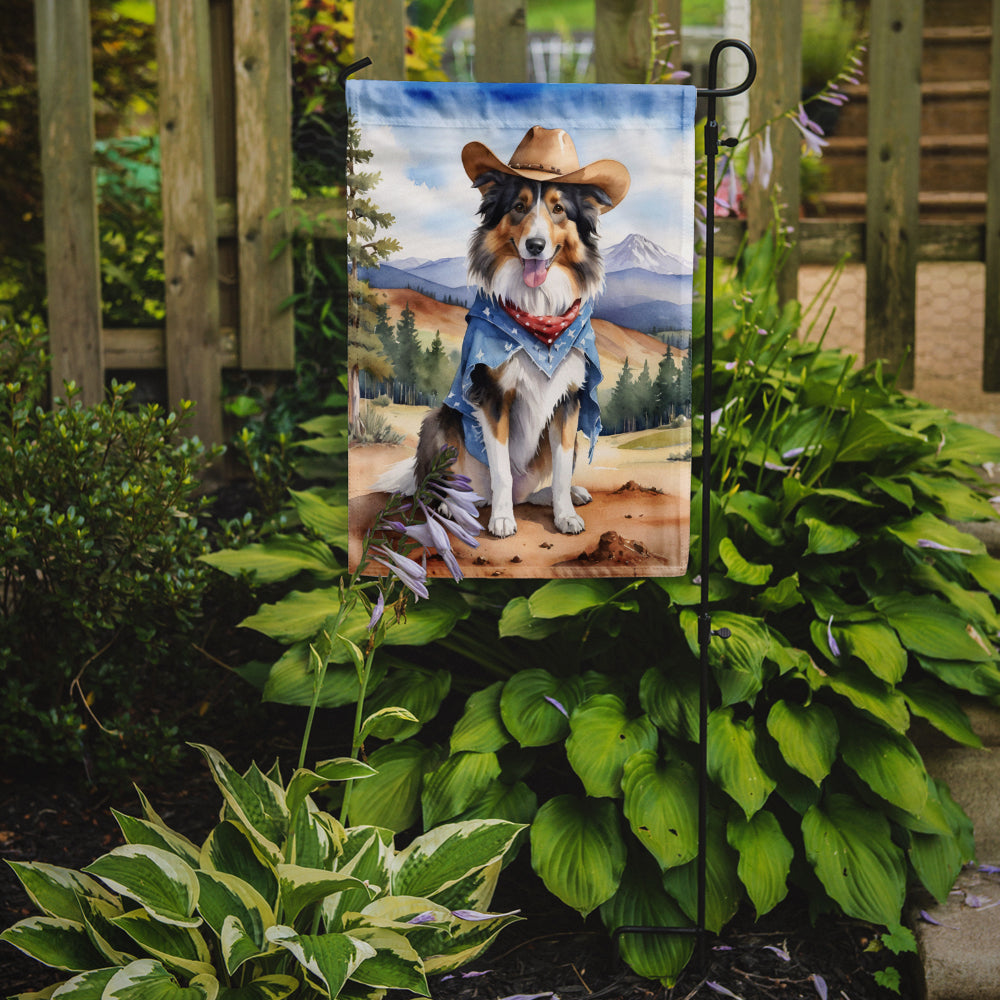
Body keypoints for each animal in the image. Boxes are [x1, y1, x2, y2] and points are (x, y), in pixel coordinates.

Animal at [376, 127, 632, 540]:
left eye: (559, 210)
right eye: (518, 207)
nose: (535, 245)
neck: (537, 317)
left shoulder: (569, 402)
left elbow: (561, 471)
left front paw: (564, 515)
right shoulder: (493, 397)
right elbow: (501, 472)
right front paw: (502, 520)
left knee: (531, 490)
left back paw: (566, 496)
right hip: (439, 424)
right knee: (440, 488)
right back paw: (455, 506)